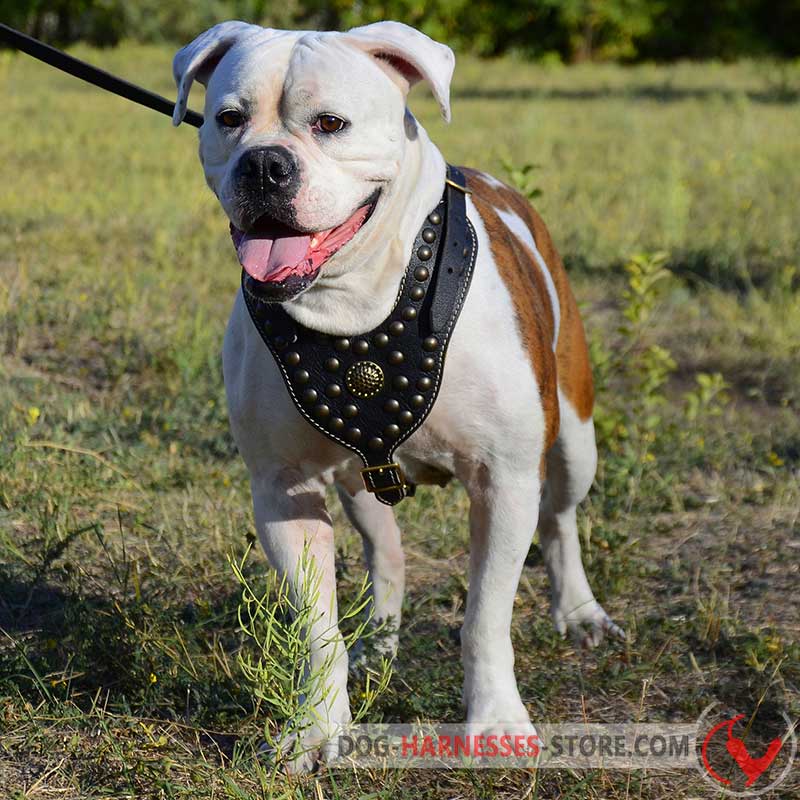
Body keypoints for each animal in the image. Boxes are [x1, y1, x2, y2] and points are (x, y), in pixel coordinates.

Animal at [173, 17, 624, 768]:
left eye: (331, 123)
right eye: (227, 119)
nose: (264, 165)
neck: (353, 300)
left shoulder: (505, 478)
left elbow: (486, 615)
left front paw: (495, 721)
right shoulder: (284, 489)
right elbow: (315, 625)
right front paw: (317, 727)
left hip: (573, 439)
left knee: (560, 520)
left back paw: (581, 612)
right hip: (356, 481)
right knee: (386, 556)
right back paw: (378, 640)